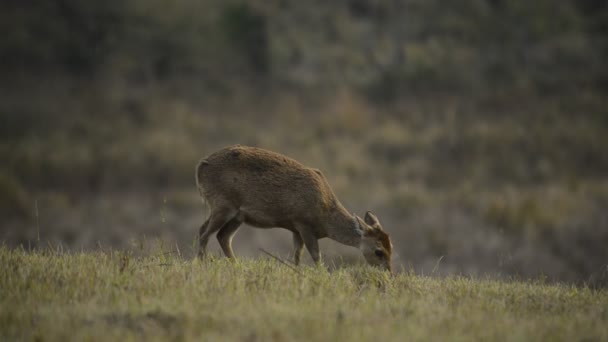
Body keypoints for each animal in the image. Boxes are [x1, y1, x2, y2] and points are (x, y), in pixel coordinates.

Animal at [195, 144, 394, 272]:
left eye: (390, 246)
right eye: (378, 251)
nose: (388, 273)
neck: (325, 218)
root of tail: (201, 166)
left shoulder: (295, 229)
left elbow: (297, 256)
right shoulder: (303, 223)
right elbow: (316, 256)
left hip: (238, 215)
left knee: (222, 236)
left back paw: (235, 266)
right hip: (222, 204)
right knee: (204, 232)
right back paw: (202, 265)